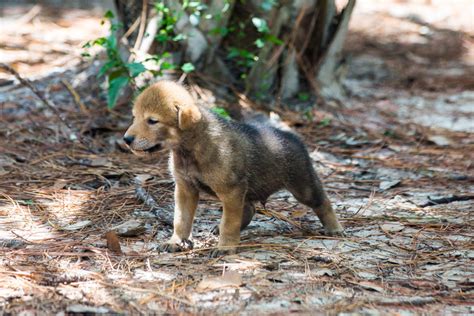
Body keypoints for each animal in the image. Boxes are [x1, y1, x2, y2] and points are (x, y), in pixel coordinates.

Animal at [124, 80, 342, 256]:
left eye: (152, 121)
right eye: (134, 117)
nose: (126, 139)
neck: (190, 148)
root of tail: (293, 137)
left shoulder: (230, 190)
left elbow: (229, 223)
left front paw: (225, 247)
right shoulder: (185, 189)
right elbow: (181, 220)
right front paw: (175, 242)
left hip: (303, 187)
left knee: (323, 201)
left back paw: (334, 228)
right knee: (250, 209)